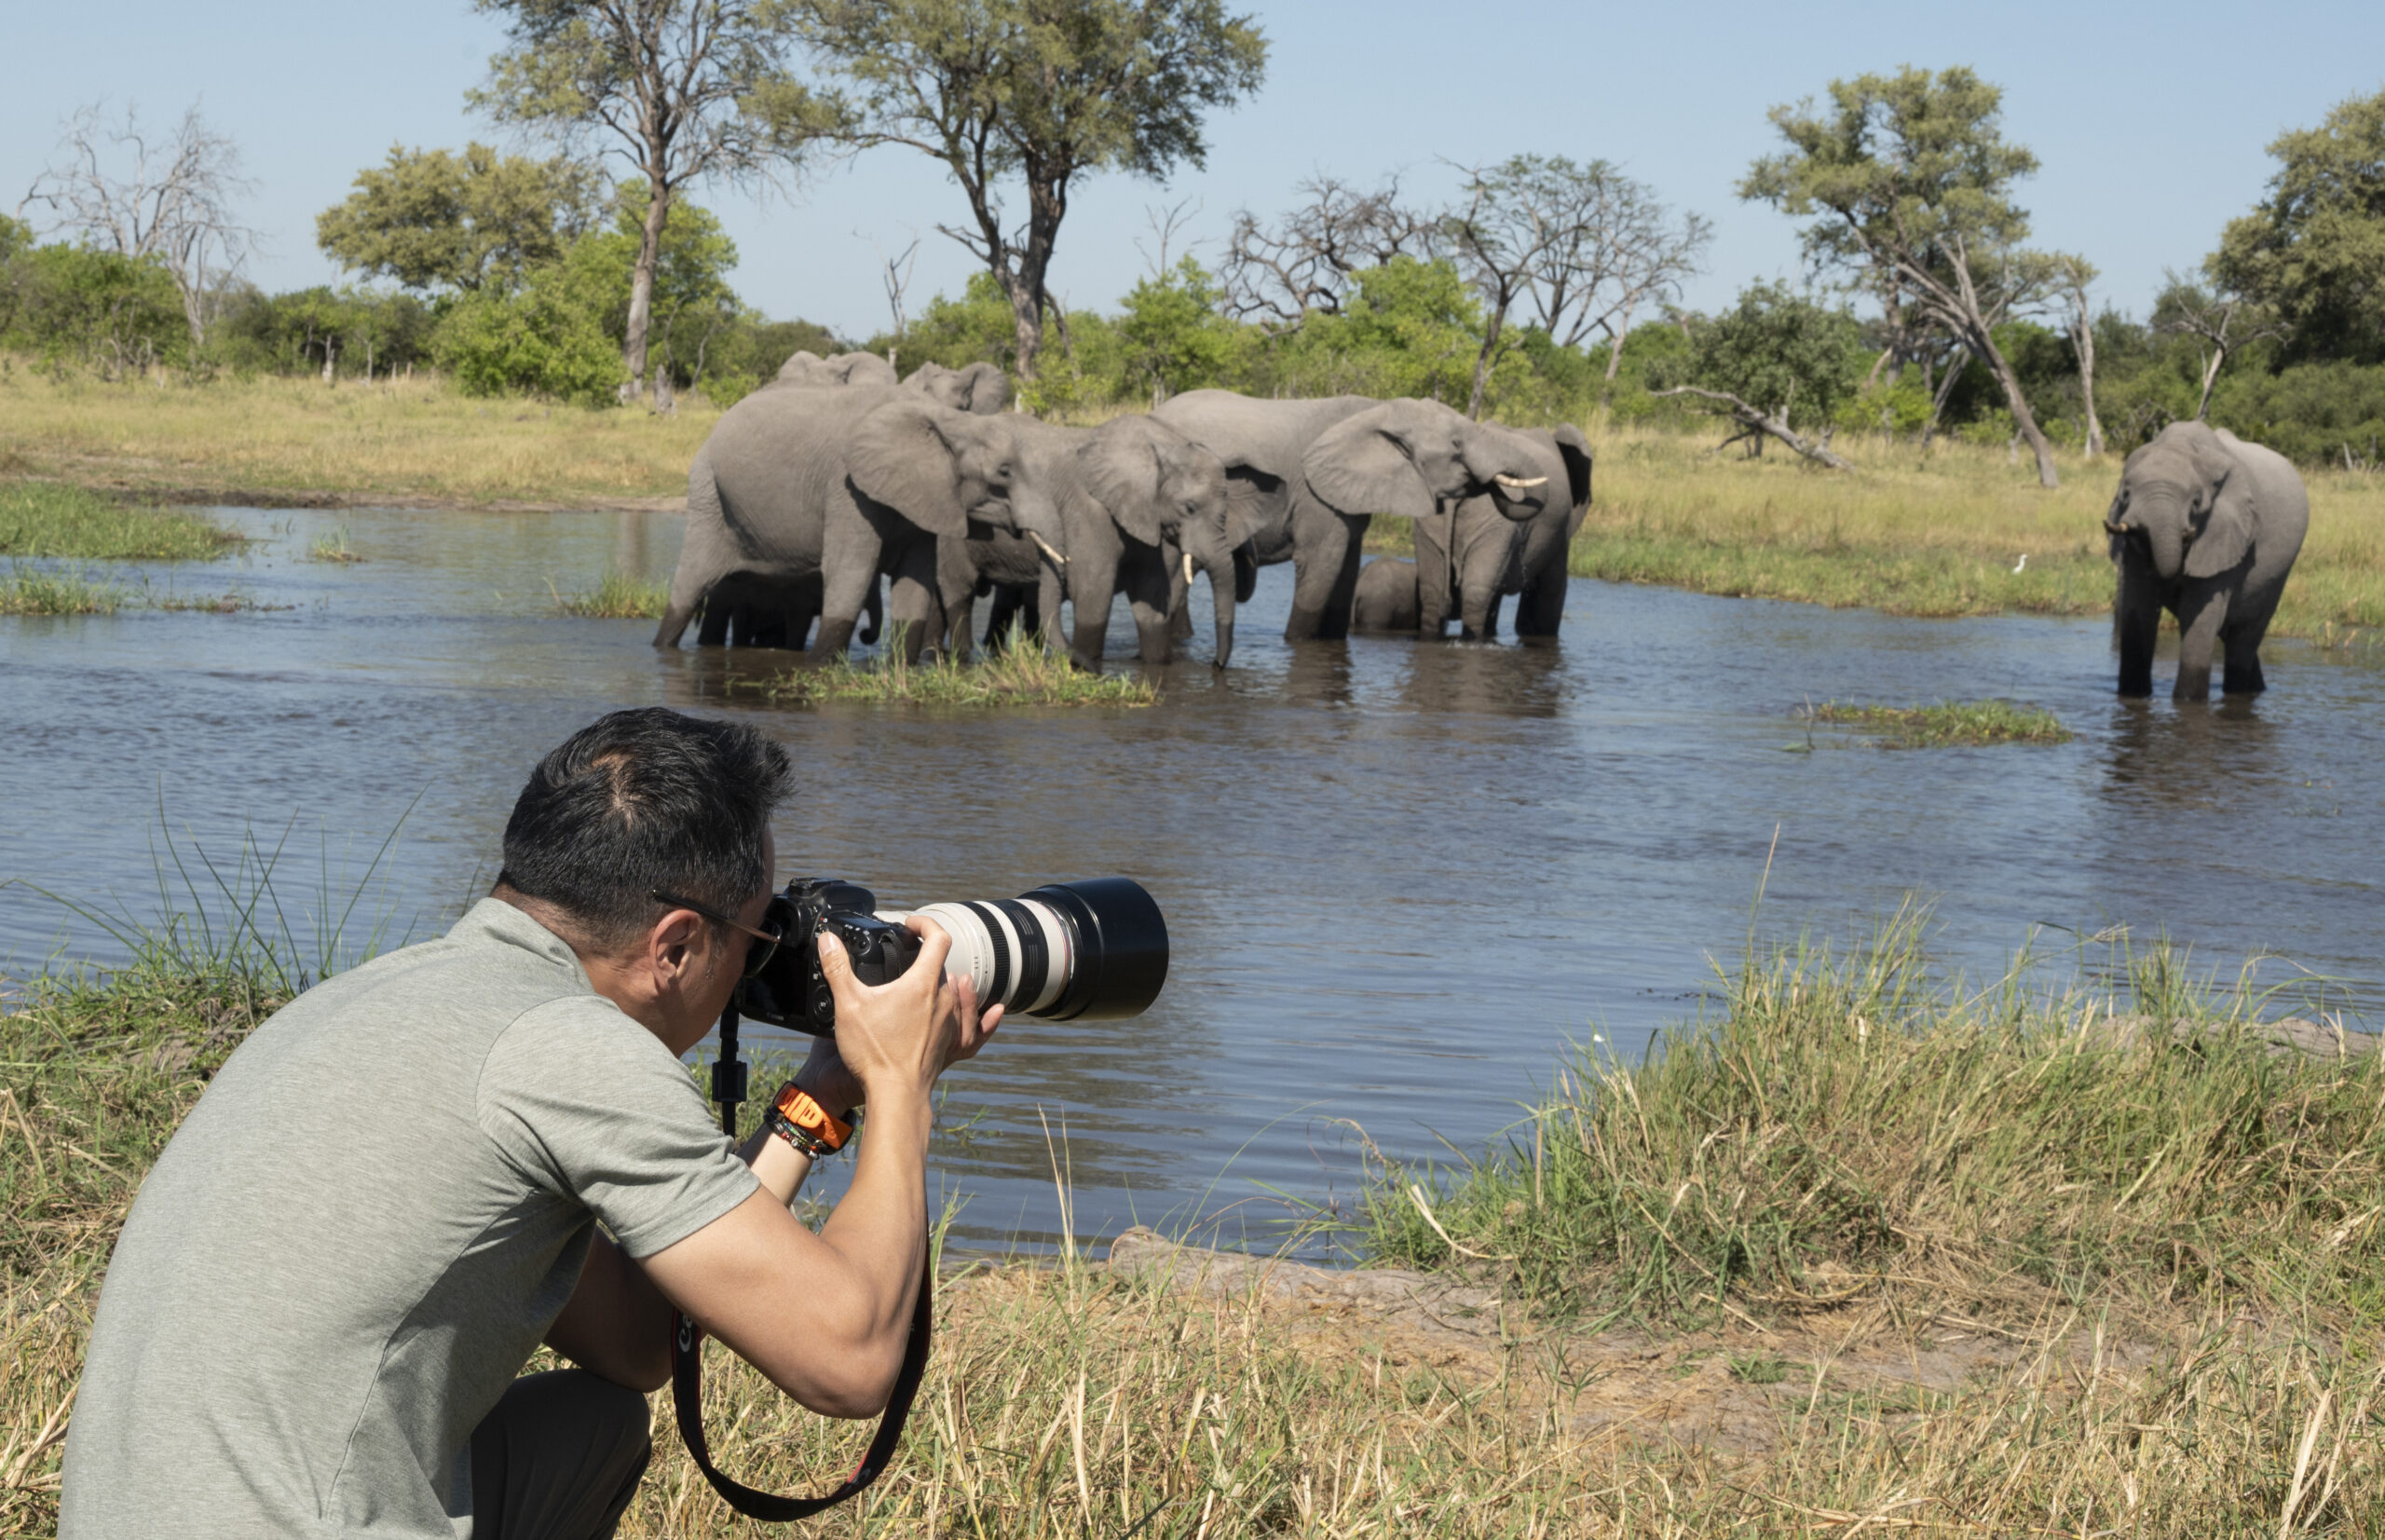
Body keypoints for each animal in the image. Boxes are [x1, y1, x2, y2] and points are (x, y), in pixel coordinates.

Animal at [658, 386, 1058, 662]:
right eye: (1004, 472)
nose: (868, 636)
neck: (945, 419)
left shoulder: (925, 497)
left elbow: (916, 580)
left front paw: (901, 669)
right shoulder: (846, 488)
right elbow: (852, 570)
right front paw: (820, 665)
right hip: (708, 490)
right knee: (691, 582)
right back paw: (663, 647)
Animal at [2118, 421, 2298, 701]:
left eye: (2196, 502)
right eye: (2125, 494)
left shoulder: (2224, 536)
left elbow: (2198, 616)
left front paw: (2187, 702)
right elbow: (2139, 608)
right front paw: (2133, 696)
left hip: (2277, 578)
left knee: (2244, 639)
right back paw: (2256, 689)